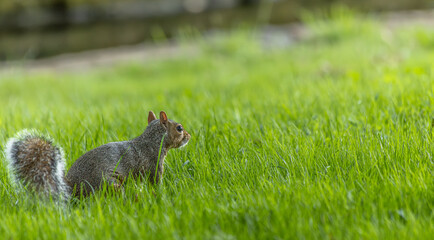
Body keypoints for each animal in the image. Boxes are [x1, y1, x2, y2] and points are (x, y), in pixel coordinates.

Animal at [3, 111, 190, 200]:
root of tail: (73, 188)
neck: (152, 140)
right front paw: (162, 192)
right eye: (179, 128)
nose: (189, 136)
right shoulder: (154, 165)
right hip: (109, 183)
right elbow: (156, 182)